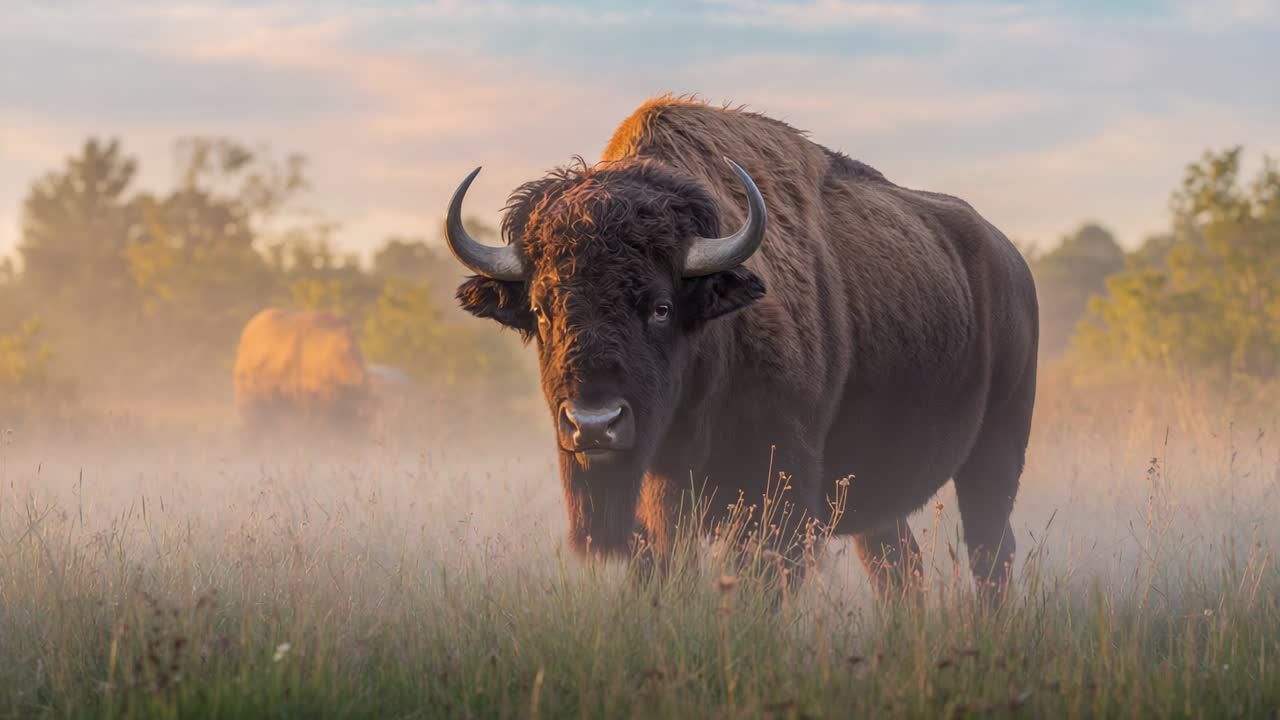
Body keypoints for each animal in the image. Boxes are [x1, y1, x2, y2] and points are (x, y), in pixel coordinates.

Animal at [445, 98, 1038, 594]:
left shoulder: (776, 503)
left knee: (990, 553)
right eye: (543, 310)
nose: (594, 425)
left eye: (661, 307)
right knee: (898, 565)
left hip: (997, 451)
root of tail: (1011, 261)